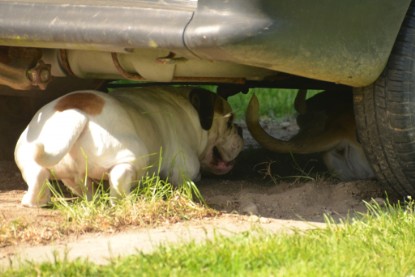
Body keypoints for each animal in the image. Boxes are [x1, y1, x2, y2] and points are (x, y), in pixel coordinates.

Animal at [15, 85, 244, 205]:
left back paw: (36, 201)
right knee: (119, 177)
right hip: (132, 155)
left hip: (32, 160)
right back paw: (123, 199)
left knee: (42, 176)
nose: (241, 130)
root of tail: (76, 114)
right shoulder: (187, 168)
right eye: (229, 122)